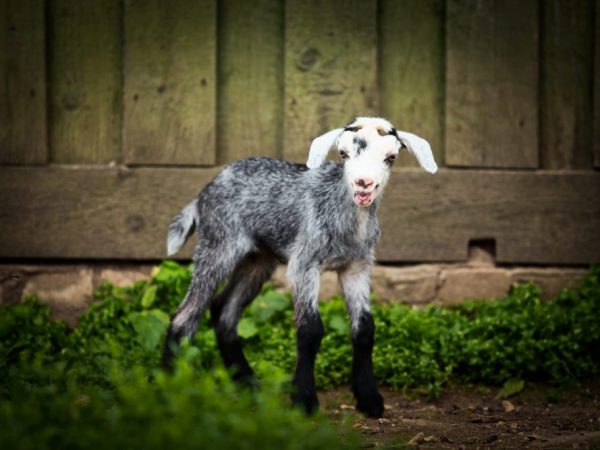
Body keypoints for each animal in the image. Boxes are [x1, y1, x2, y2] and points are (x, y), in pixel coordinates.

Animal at [163, 117, 436, 418]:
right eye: (343, 154)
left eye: (391, 157)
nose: (363, 184)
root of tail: (205, 192)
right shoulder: (304, 263)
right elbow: (310, 329)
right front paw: (304, 400)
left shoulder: (357, 266)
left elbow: (365, 329)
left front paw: (369, 399)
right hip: (219, 243)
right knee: (186, 314)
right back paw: (169, 386)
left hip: (259, 259)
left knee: (224, 310)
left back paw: (247, 382)